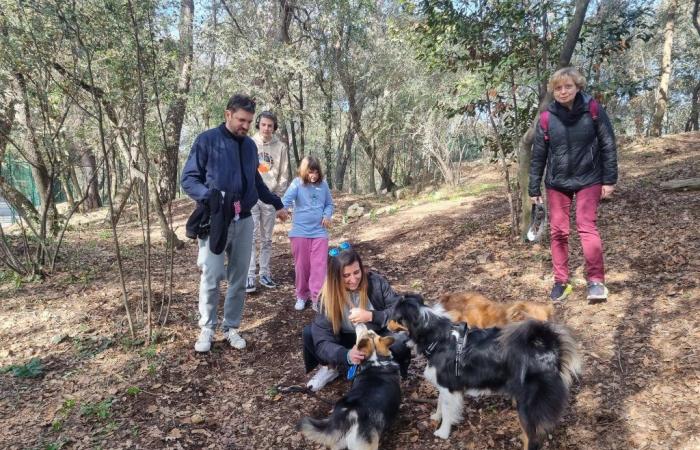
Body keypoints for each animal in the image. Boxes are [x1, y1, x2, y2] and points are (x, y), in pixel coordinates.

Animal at [388, 294, 580, 448]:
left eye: (394, 317)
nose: (385, 324)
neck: (436, 336)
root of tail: (549, 349)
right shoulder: (444, 384)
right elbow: (440, 403)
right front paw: (436, 417)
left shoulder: (450, 387)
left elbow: (448, 410)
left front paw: (443, 432)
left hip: (527, 406)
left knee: (532, 438)